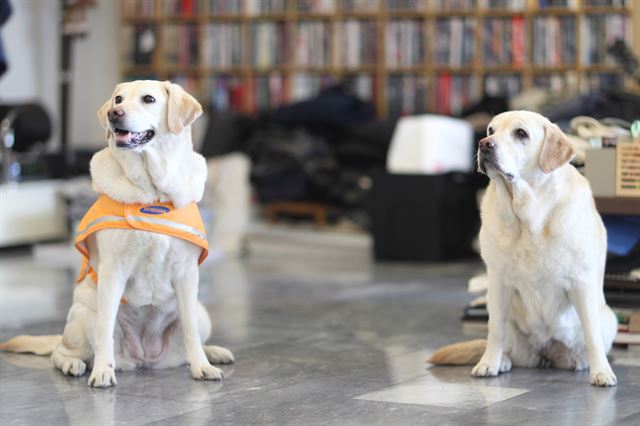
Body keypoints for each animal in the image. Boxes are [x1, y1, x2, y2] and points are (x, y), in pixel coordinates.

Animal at [0, 80, 235, 386]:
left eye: (148, 99)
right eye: (118, 99)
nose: (114, 113)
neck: (152, 194)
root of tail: (145, 359)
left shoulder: (186, 273)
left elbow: (191, 333)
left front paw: (202, 366)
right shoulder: (113, 270)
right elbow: (104, 332)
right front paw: (102, 371)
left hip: (201, 311)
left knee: (190, 336)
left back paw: (213, 352)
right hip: (84, 313)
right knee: (61, 351)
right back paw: (74, 364)